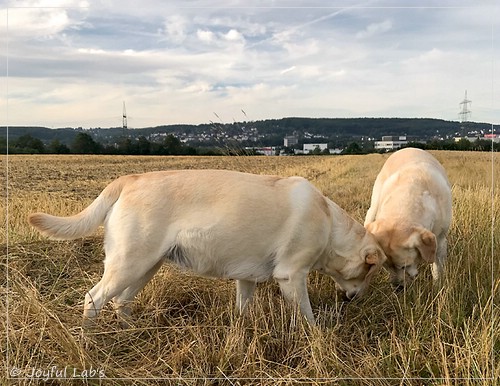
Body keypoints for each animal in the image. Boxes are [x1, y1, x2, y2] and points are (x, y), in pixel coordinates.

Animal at [29, 170, 384, 324]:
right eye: (369, 271)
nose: (352, 299)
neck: (330, 225)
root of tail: (127, 179)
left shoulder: (247, 278)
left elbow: (243, 309)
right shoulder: (292, 276)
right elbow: (307, 318)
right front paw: (316, 337)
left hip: (145, 266)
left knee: (120, 302)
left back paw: (130, 330)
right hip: (129, 264)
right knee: (94, 299)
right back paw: (90, 343)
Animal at [364, 148, 454, 286]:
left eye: (404, 266)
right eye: (386, 267)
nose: (397, 287)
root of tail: (407, 148)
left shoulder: (440, 241)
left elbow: (437, 269)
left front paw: (437, 285)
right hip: (373, 207)